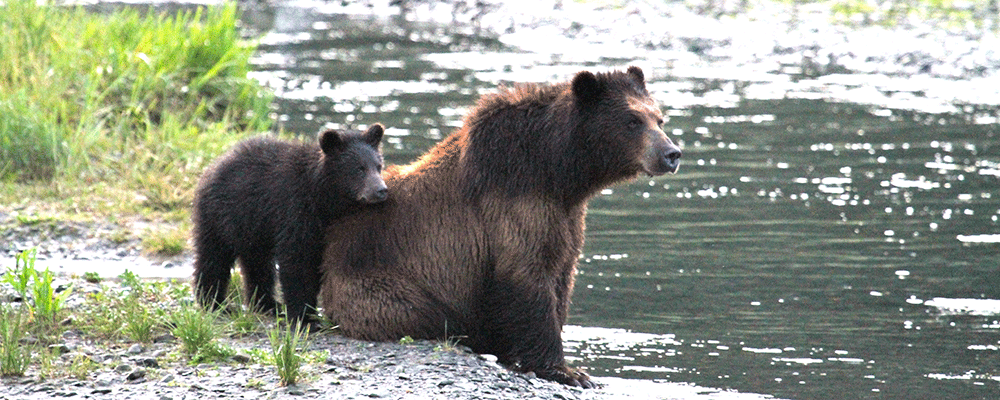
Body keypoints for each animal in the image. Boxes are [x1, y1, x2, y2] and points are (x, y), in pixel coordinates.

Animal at [192, 124, 387, 324]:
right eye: (359, 168)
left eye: (378, 166)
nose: (381, 190)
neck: (323, 198)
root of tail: (213, 165)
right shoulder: (294, 210)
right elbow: (296, 261)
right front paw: (304, 317)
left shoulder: (325, 226)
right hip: (221, 215)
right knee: (214, 257)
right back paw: (214, 303)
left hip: (253, 228)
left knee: (258, 264)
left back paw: (268, 304)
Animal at [317, 67, 680, 388]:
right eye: (632, 120)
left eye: (659, 118)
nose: (671, 153)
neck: (557, 170)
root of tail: (332, 244)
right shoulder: (515, 205)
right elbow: (527, 277)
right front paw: (568, 371)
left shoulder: (566, 216)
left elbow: (561, 276)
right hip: (380, 281)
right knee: (423, 313)